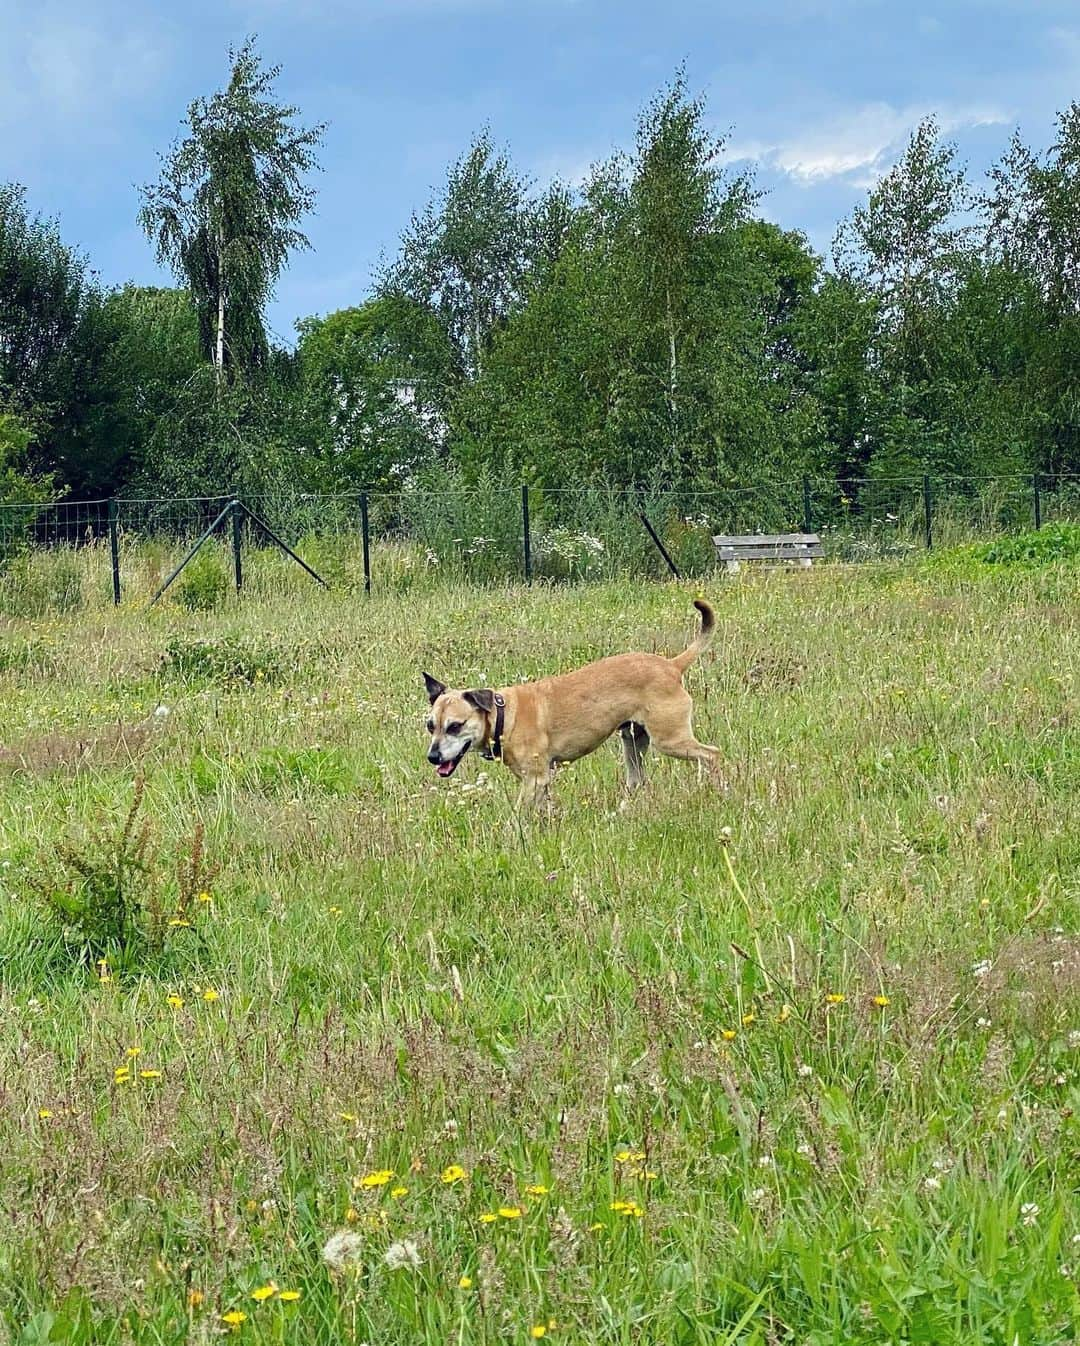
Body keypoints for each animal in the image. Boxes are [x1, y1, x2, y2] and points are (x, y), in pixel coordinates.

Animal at [425, 603, 721, 807]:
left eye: (455, 726)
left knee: (712, 754)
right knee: (637, 780)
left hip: (670, 739)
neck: (503, 716)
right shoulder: (539, 782)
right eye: (430, 726)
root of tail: (671, 666)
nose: (432, 757)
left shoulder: (534, 780)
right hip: (633, 742)